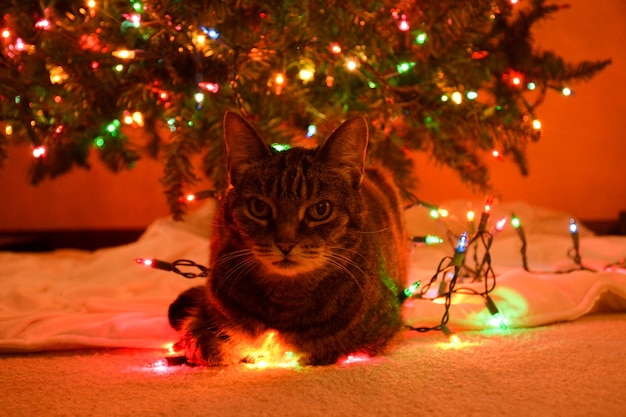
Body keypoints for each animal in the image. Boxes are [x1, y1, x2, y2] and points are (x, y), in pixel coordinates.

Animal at [167, 111, 410, 364]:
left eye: (320, 209)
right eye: (259, 207)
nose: (285, 243)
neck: (286, 300)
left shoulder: (382, 328)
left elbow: (324, 349)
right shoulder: (205, 316)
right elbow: (210, 348)